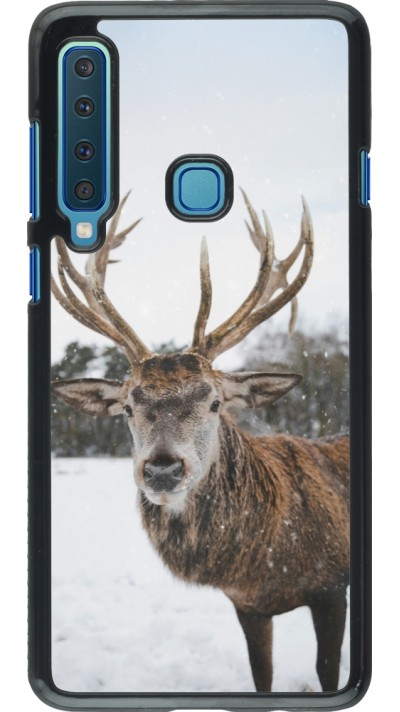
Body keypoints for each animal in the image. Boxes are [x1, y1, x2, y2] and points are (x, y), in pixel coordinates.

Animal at [51, 190, 349, 693]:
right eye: (128, 407)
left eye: (214, 402)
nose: (162, 469)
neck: (266, 564)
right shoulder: (247, 605)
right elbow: (261, 675)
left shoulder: (333, 587)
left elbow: (328, 672)